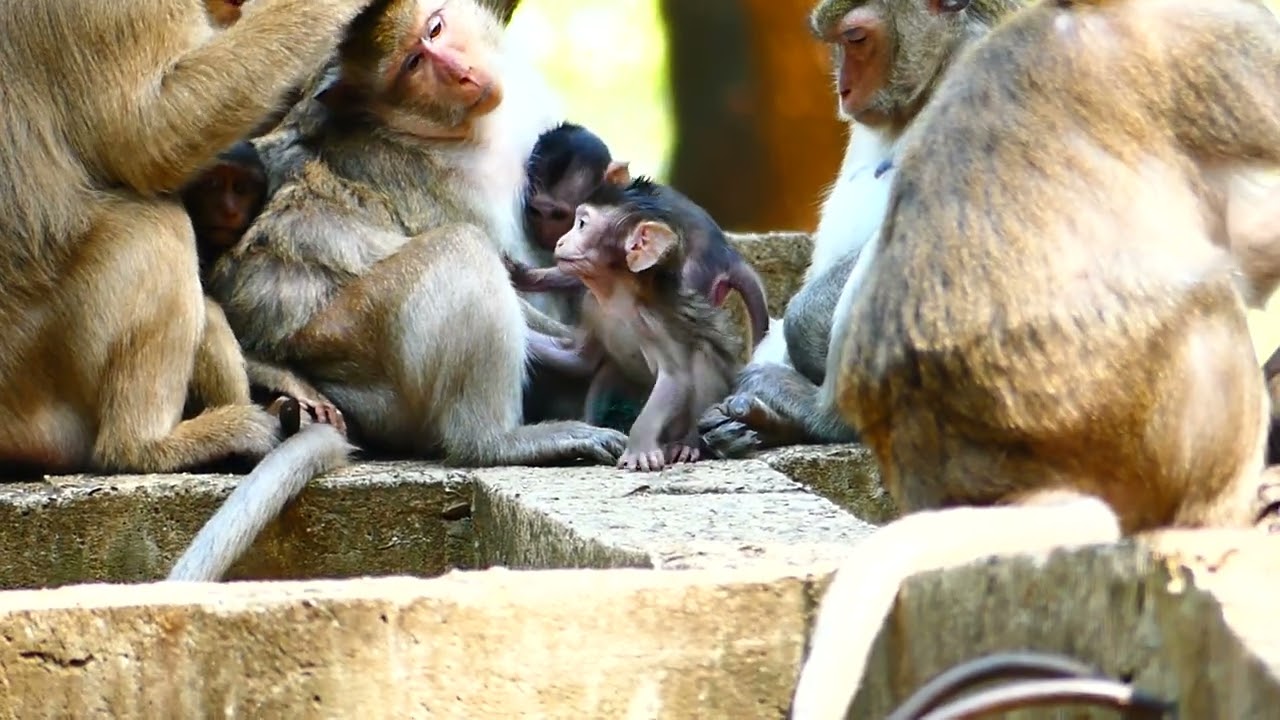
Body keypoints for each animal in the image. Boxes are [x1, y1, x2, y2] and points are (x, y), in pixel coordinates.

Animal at [206, 0, 627, 467]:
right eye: (413, 65)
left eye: (436, 29)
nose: (461, 73)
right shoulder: (437, 181)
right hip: (357, 353)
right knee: (461, 248)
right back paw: (494, 441)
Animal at [510, 177, 744, 471]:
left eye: (582, 224)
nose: (561, 241)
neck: (616, 295)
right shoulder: (592, 307)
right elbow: (577, 359)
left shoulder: (653, 321)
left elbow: (675, 377)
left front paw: (640, 449)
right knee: (607, 371)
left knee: (702, 358)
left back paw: (686, 444)